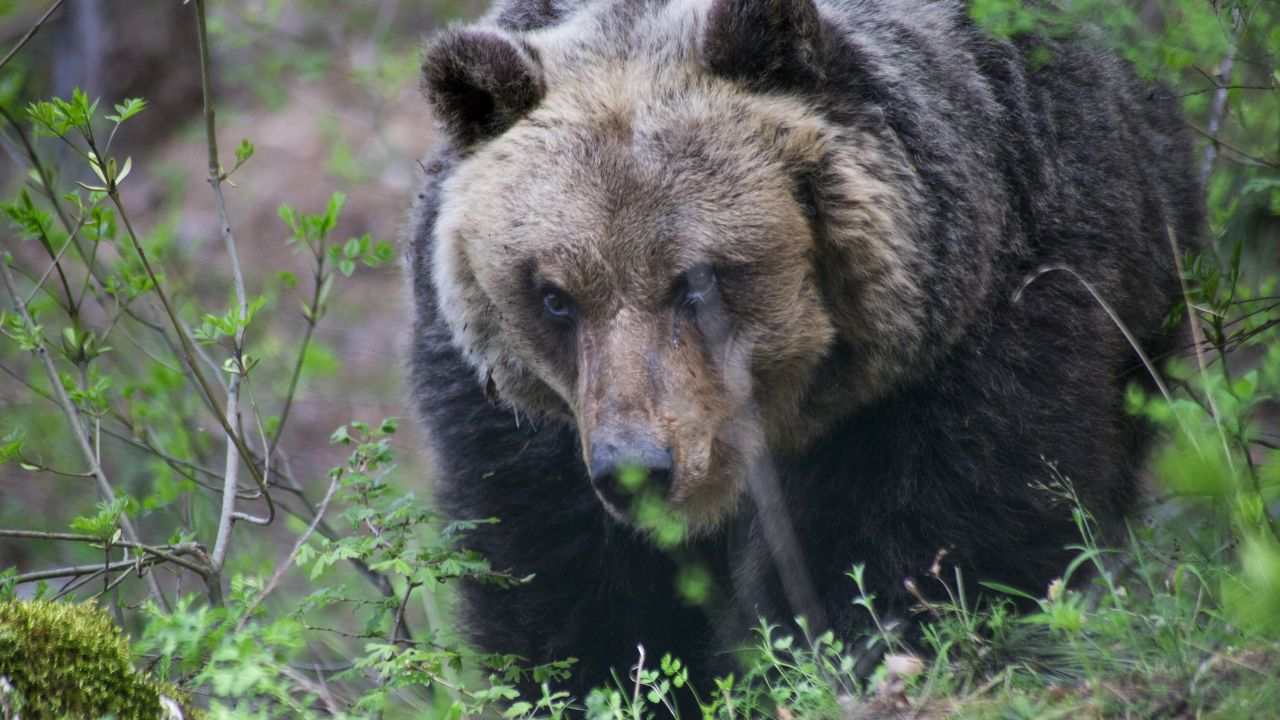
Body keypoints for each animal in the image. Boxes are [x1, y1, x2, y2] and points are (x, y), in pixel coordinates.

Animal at [407, 0, 1198, 702]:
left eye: (697, 278)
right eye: (554, 295)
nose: (636, 467)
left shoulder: (976, 335)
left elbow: (943, 531)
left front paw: (868, 648)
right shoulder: (527, 430)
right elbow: (563, 579)